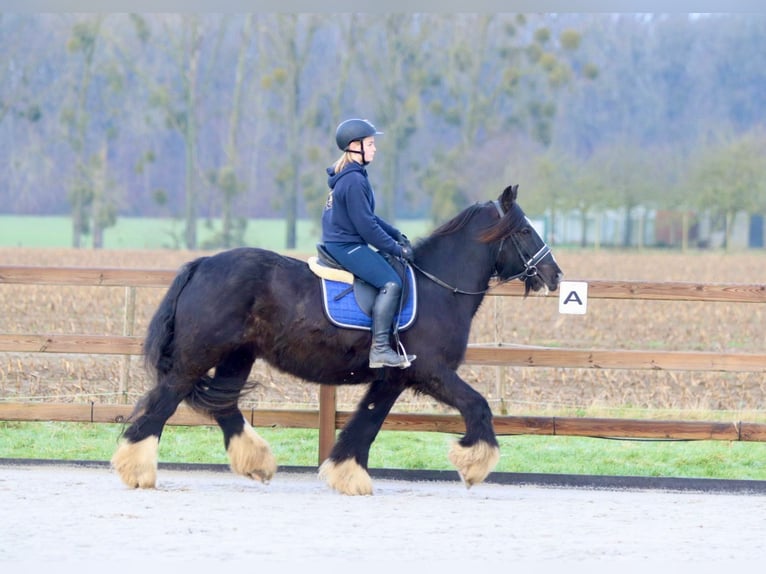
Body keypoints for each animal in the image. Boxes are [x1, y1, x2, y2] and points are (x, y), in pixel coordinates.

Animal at [112, 184, 564, 496]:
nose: (555, 275)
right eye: (526, 230)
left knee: (224, 405)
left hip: (237, 355)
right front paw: (473, 462)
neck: (438, 286)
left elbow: (366, 423)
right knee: (164, 402)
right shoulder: (431, 371)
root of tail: (203, 264)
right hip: (198, 354)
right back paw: (136, 469)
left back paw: (257, 461)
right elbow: (478, 405)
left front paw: (348, 474)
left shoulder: (392, 378)